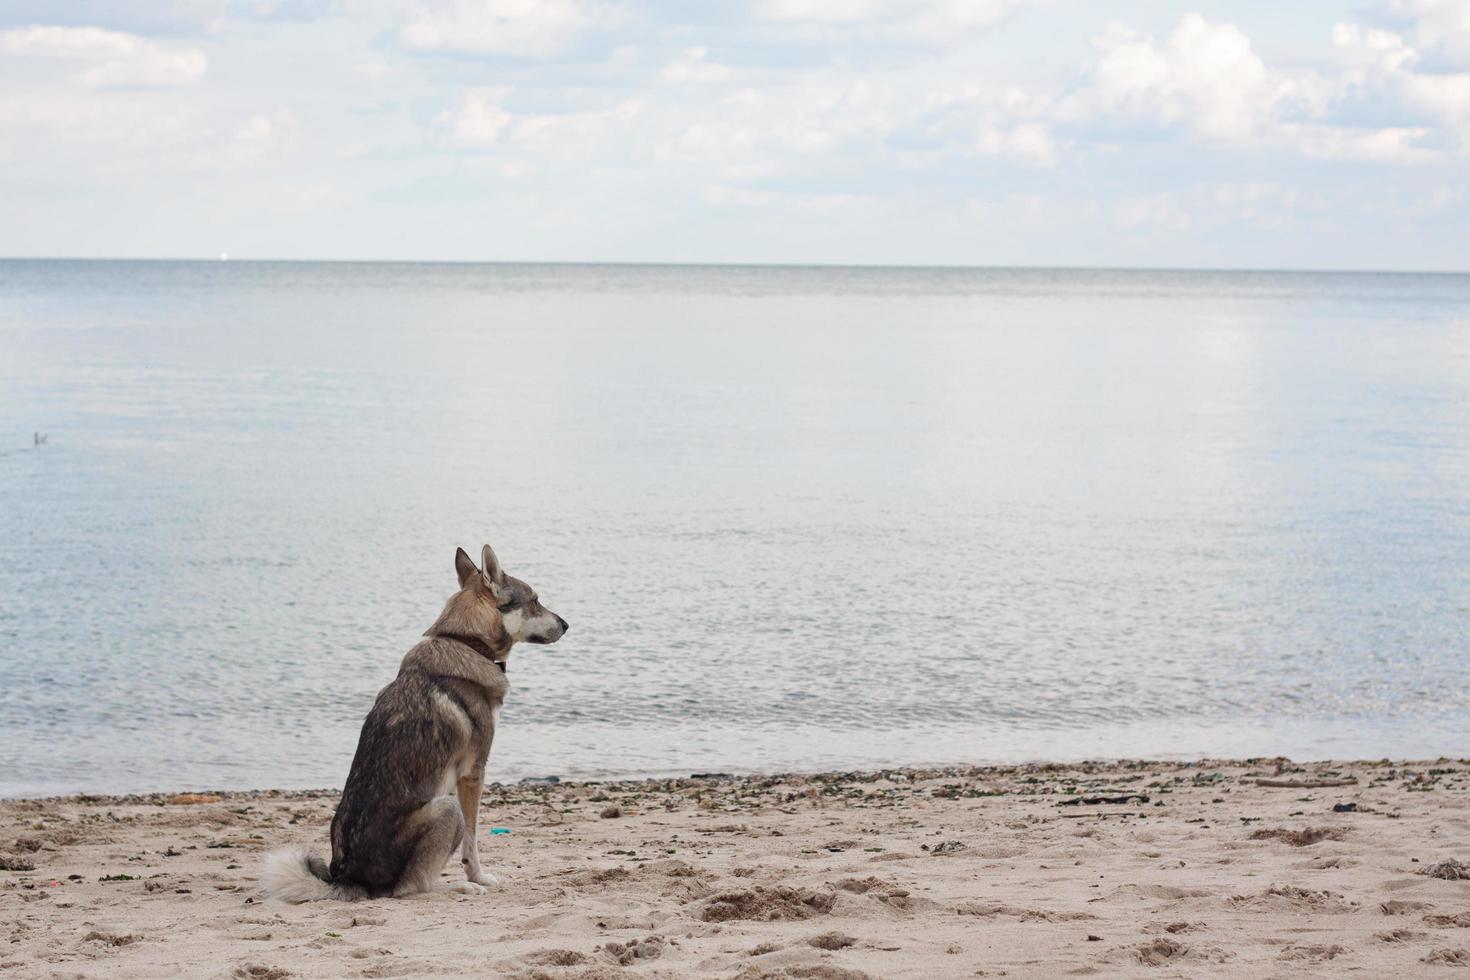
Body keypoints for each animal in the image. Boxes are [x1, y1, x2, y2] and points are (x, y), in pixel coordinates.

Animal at [261, 543, 564, 905]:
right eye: (535, 600)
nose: (566, 625)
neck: (464, 640)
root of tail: (348, 879)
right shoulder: (474, 772)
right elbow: (473, 841)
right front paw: (478, 877)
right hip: (448, 808)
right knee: (410, 888)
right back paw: (460, 887)